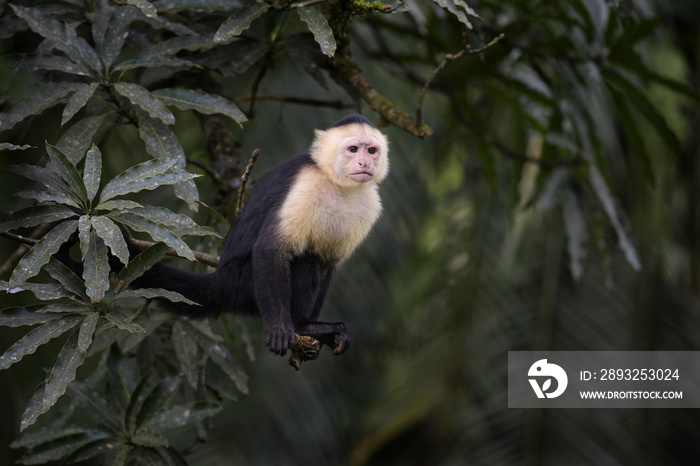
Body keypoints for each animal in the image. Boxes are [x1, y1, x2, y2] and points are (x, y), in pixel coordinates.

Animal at [134, 114, 392, 354]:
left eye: (372, 150)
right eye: (353, 149)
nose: (364, 162)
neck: (336, 182)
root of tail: (221, 281)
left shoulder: (370, 204)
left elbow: (329, 262)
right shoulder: (306, 185)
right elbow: (272, 249)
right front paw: (283, 327)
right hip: (244, 283)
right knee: (305, 259)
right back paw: (302, 326)